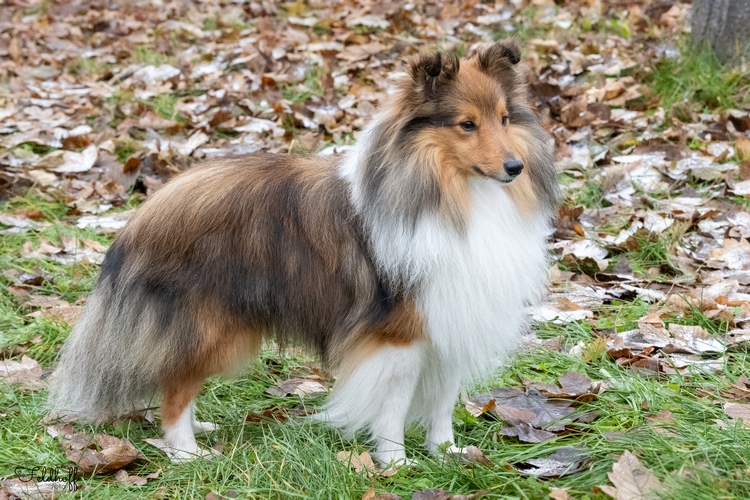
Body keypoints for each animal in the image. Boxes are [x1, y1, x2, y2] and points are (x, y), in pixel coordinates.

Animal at [47, 41, 560, 466]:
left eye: (505, 119)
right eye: (466, 124)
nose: (515, 167)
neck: (455, 195)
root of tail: (146, 210)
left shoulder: (452, 318)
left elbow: (441, 402)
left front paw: (448, 453)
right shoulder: (398, 336)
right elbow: (393, 406)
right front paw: (395, 463)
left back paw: (199, 428)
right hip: (214, 328)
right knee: (174, 385)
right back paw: (187, 452)